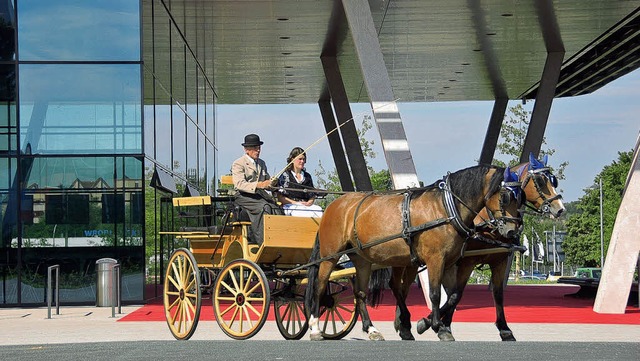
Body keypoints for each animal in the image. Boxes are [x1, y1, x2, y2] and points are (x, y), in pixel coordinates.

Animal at [306, 165, 524, 338]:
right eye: (505, 197)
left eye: (520, 199)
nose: (512, 231)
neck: (446, 209)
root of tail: (334, 204)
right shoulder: (436, 259)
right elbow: (435, 293)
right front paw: (437, 326)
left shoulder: (451, 262)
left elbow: (453, 295)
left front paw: (428, 324)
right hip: (330, 255)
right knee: (320, 284)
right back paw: (315, 326)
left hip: (362, 259)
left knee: (361, 292)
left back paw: (372, 328)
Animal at [420, 152, 564, 340]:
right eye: (540, 181)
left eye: (553, 180)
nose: (560, 208)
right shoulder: (467, 263)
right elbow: (456, 295)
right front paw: (433, 323)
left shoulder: (500, 261)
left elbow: (498, 294)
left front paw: (504, 328)